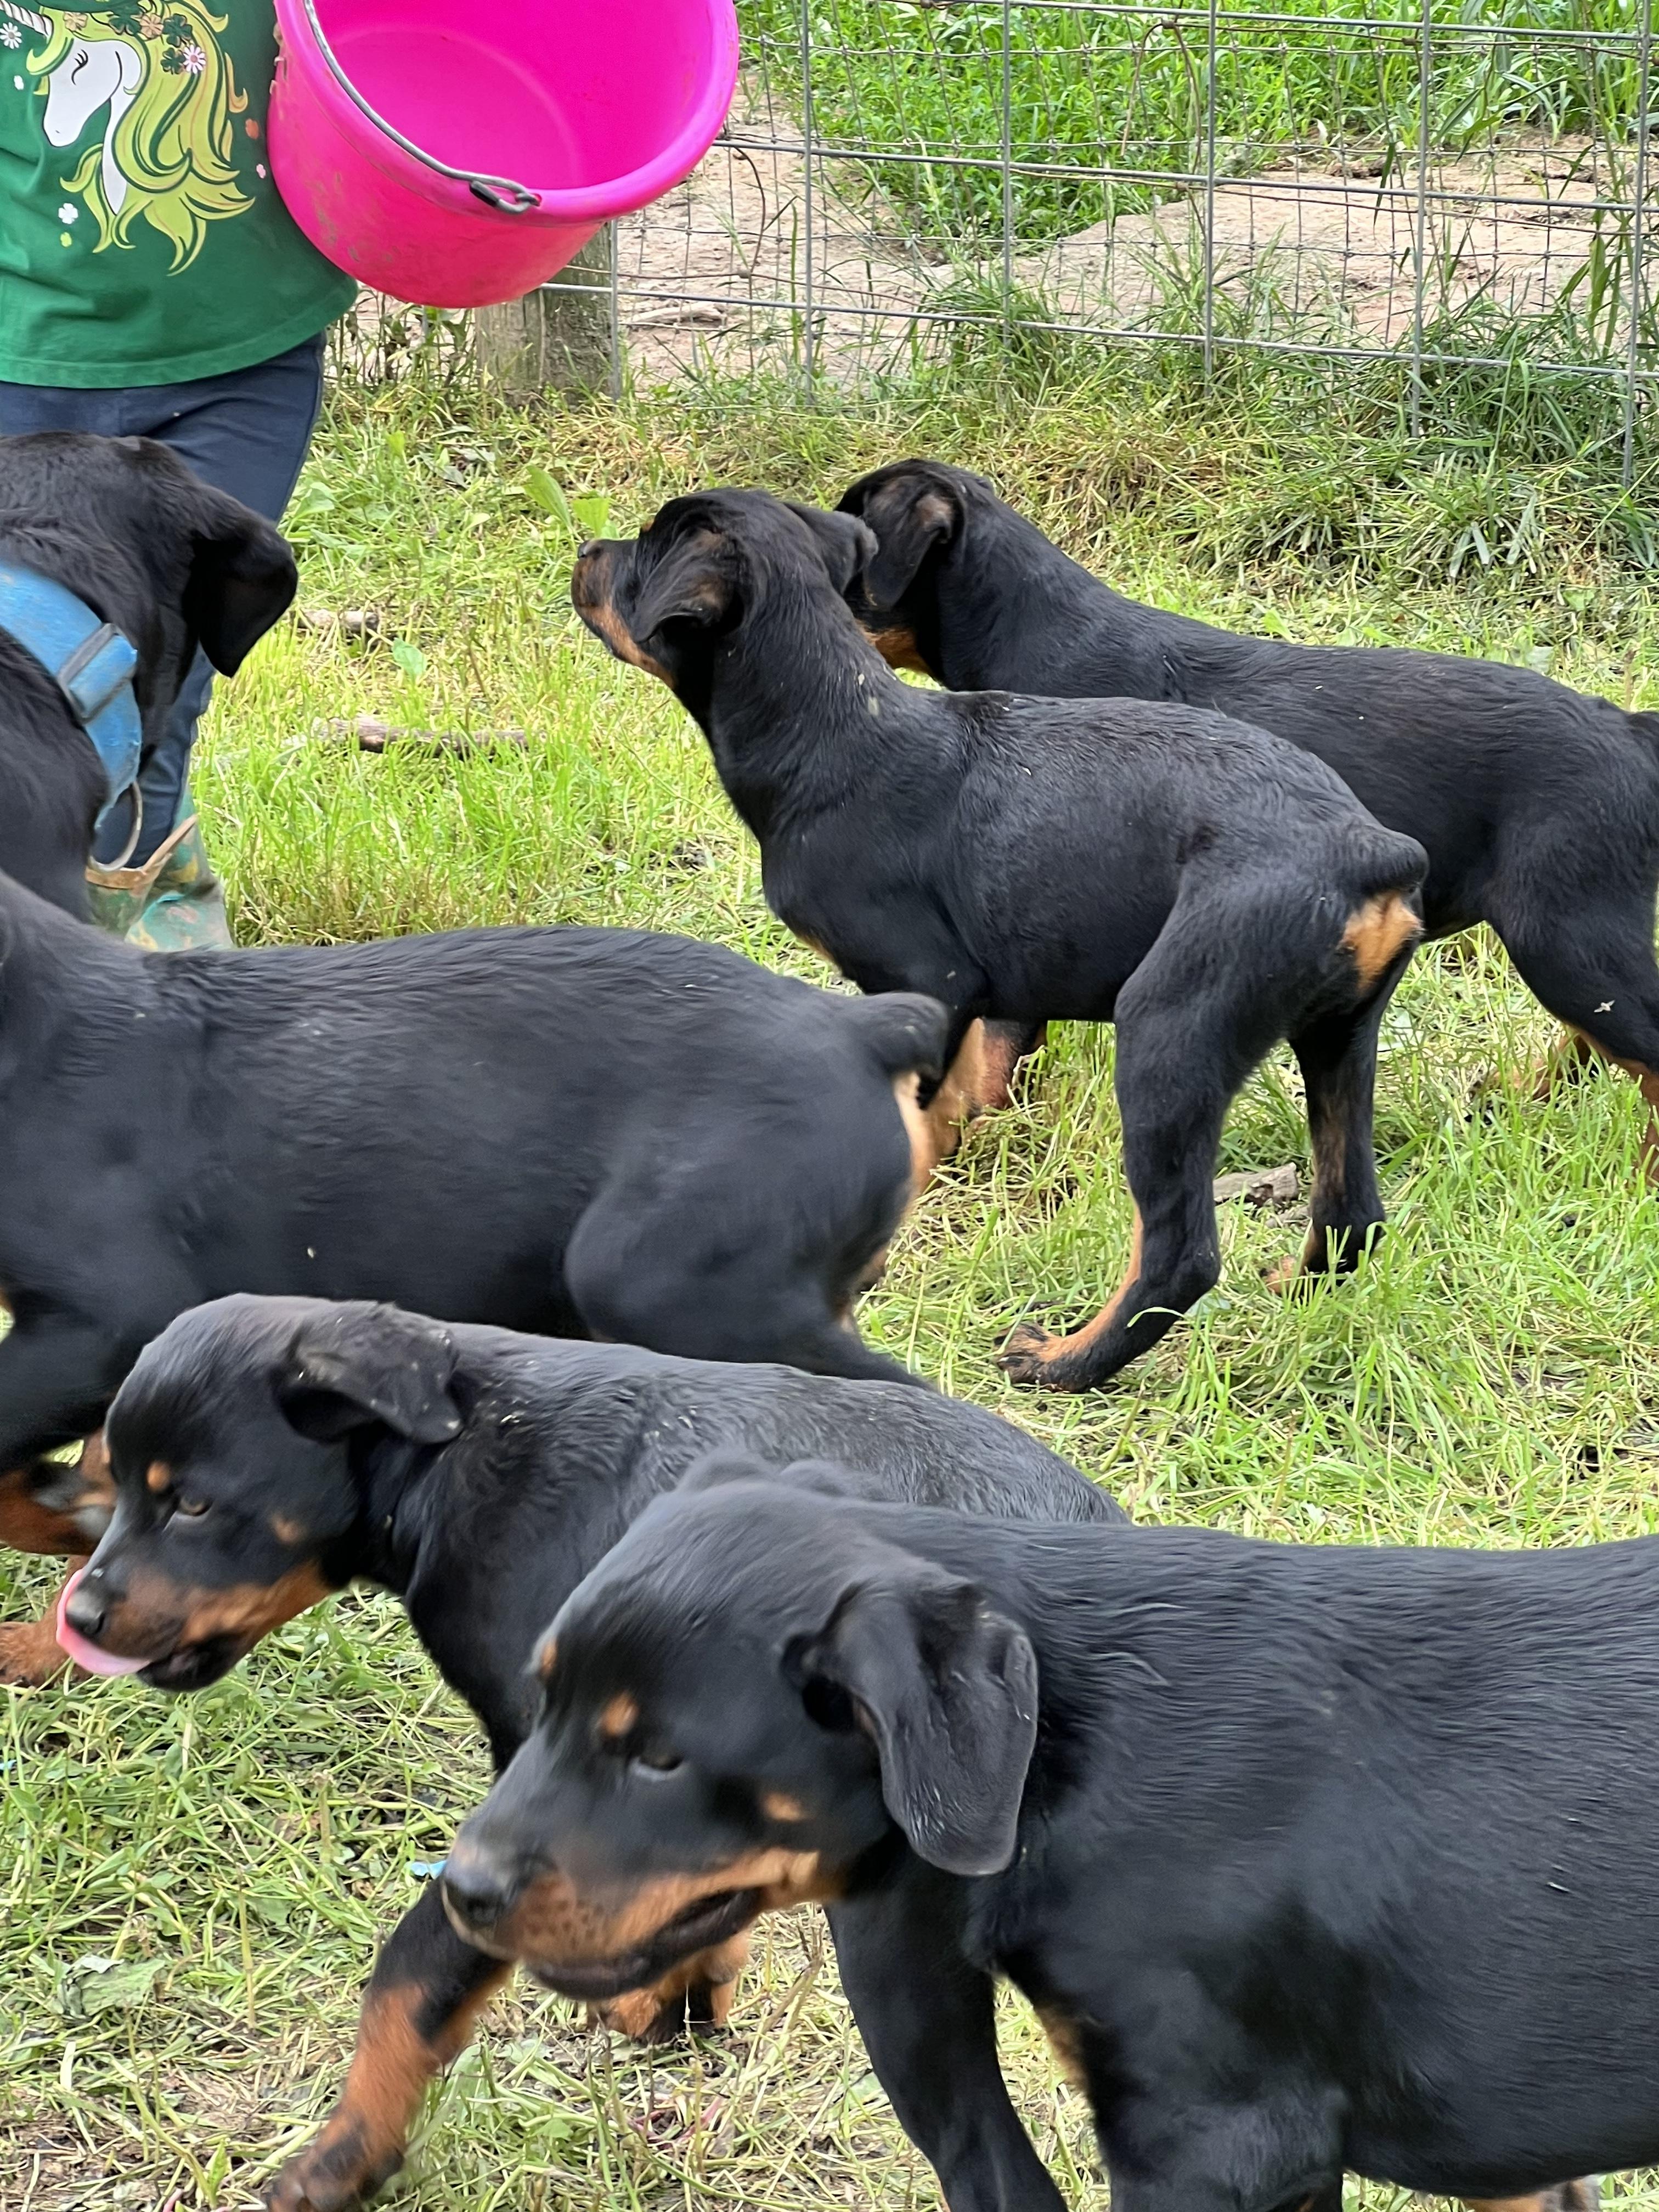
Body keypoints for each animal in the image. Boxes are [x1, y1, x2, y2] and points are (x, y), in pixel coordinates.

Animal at [61, 1295, 1124, 2212]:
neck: (458, 1460)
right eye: (116, 1485)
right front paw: (674, 1993)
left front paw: (342, 2157)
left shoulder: (529, 1791)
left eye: (193, 1505)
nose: (80, 1616)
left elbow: (408, 1980)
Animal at [572, 489, 1428, 1391]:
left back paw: (1062, 1363)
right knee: (1352, 1213)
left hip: (1172, 1030)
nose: (587, 552)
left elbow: (914, 1117)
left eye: (645, 554)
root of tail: (1369, 850)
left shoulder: (928, 979)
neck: (837, 724)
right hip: (1339, 1039)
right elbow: (948, 1103)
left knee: (1180, 1254)